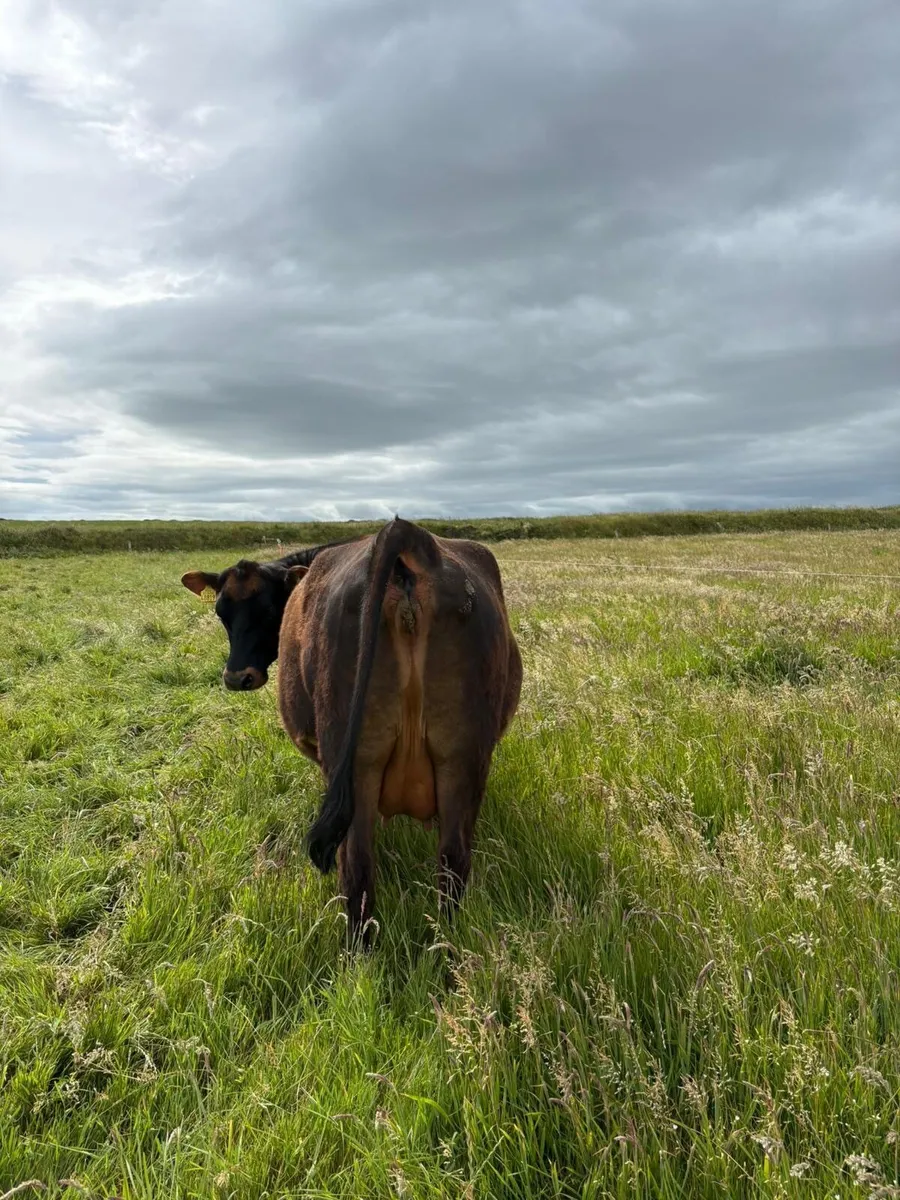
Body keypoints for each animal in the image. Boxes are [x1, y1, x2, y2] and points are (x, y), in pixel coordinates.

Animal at [182, 518, 522, 944]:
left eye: (268, 609)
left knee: (356, 868)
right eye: (221, 611)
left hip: (358, 761)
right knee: (452, 864)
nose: (236, 676)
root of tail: (407, 535)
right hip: (462, 758)